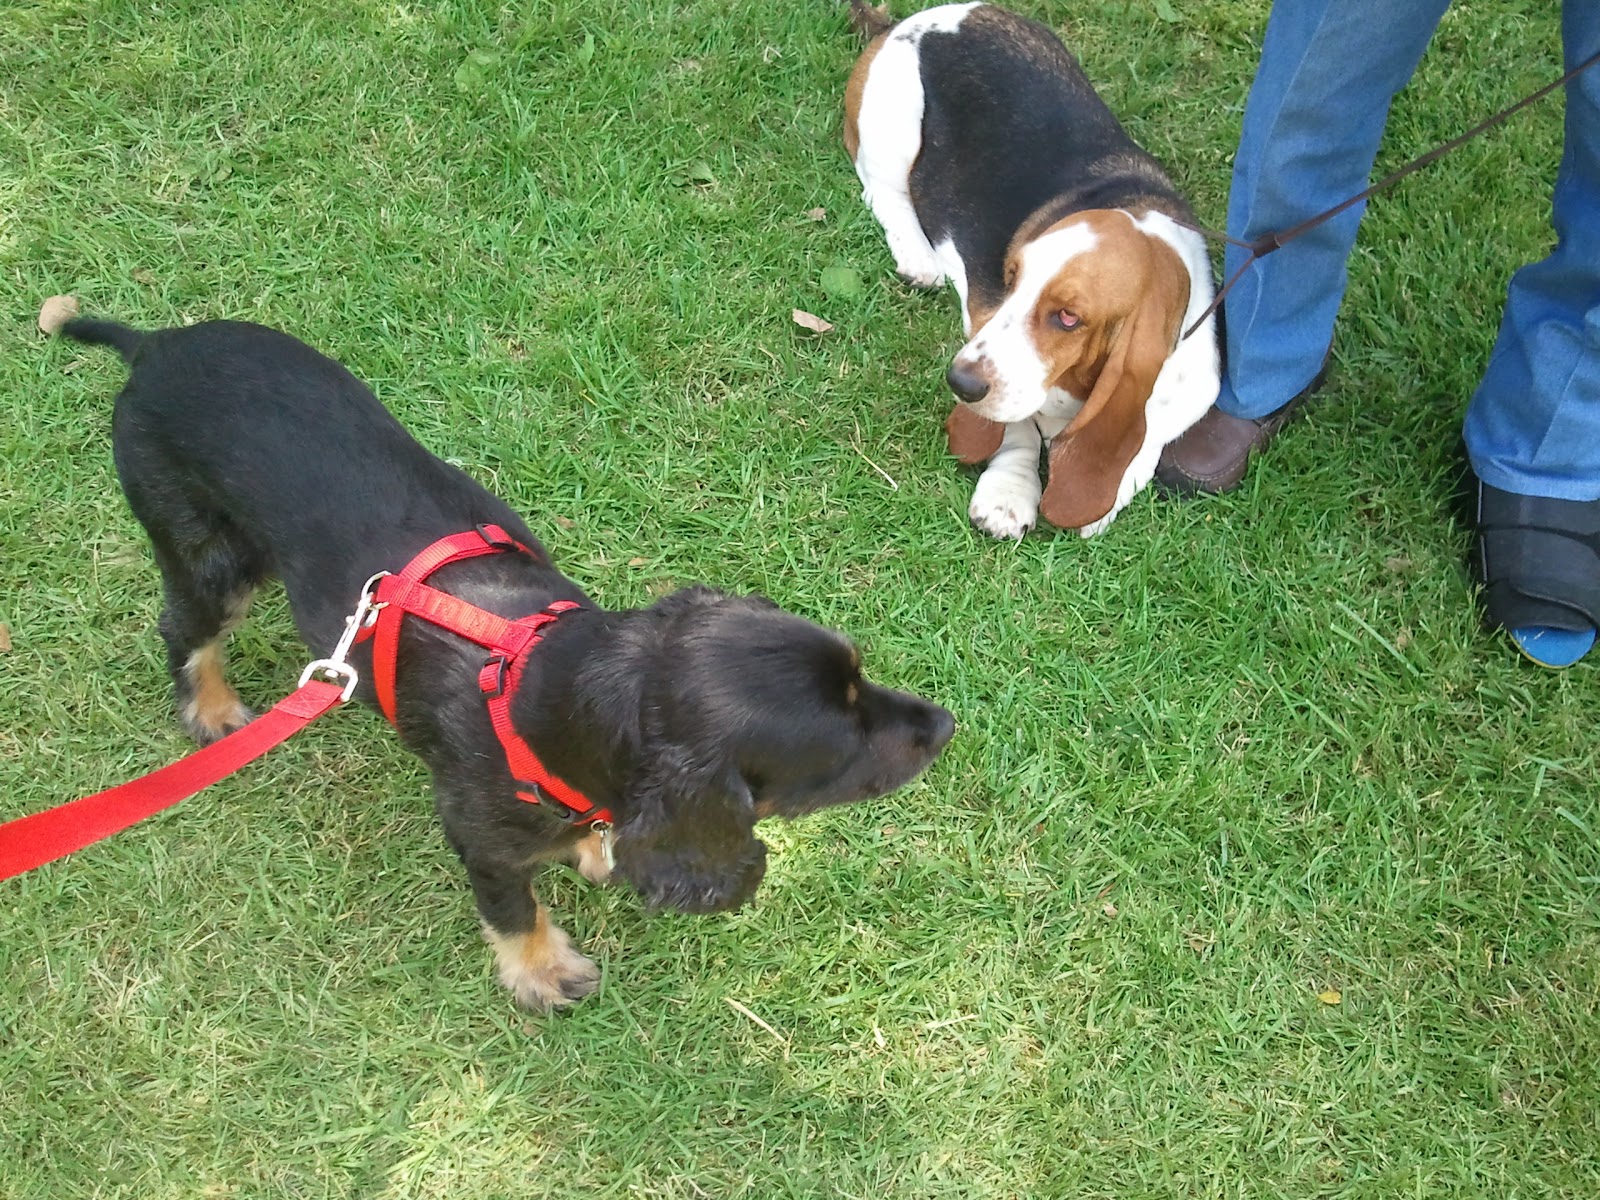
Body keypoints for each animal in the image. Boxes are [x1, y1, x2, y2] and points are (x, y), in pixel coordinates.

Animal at [53, 311, 955, 1011]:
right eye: (843, 740)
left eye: (862, 675)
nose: (945, 724)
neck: (536, 681)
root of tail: (153, 346)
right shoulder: (476, 832)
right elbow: (513, 905)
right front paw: (542, 972)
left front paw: (593, 851)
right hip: (208, 554)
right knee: (185, 628)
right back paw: (209, 709)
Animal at [844, 1, 1220, 539]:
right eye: (1011, 279)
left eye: (1068, 317)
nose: (959, 384)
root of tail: (915, 20)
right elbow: (1016, 429)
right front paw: (1008, 494)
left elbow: (1144, 446)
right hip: (893, 125)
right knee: (882, 191)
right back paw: (918, 258)